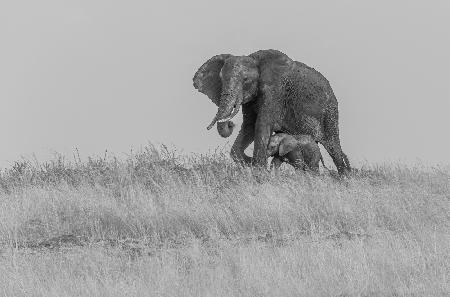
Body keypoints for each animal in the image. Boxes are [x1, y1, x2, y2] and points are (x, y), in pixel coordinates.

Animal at [192, 48, 350, 173]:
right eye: (220, 79)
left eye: (246, 80)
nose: (231, 124)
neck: (254, 59)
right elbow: (249, 127)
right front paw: (250, 161)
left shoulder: (275, 93)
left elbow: (261, 126)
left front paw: (258, 169)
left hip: (330, 112)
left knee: (333, 147)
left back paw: (344, 178)